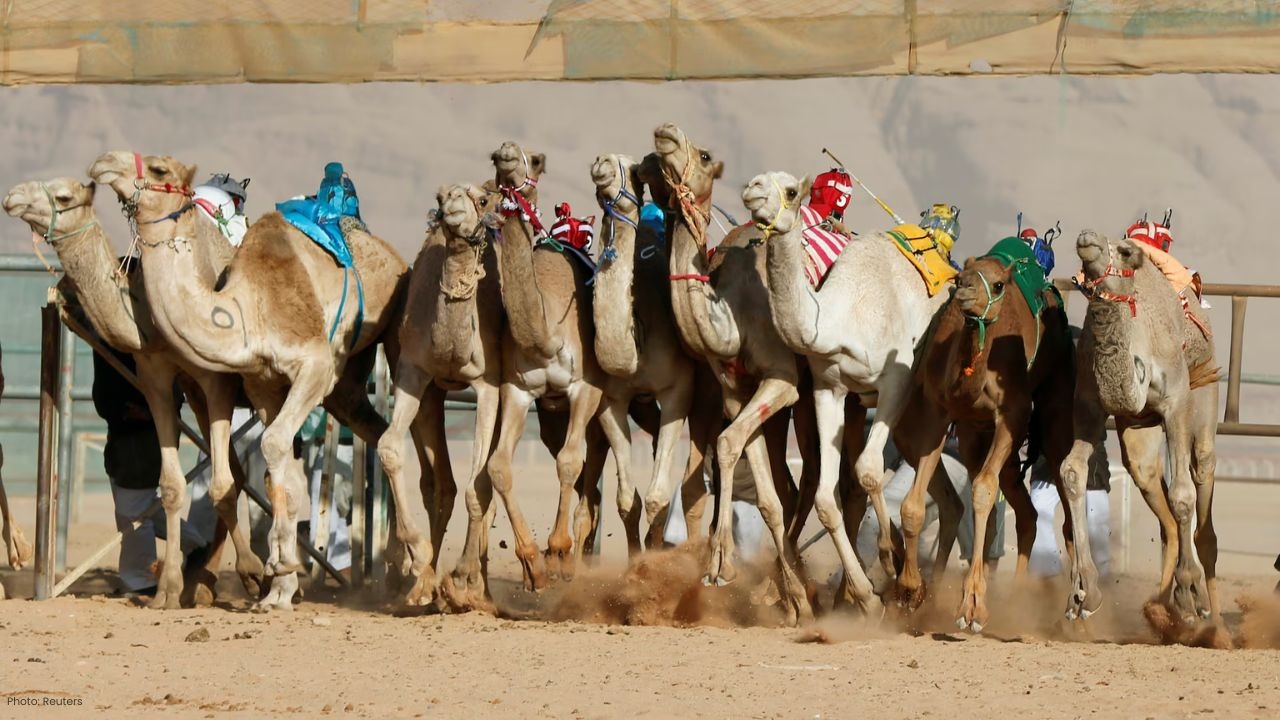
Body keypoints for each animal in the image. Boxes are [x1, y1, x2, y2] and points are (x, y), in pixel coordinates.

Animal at [3, 176, 268, 606]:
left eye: (64, 195)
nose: (12, 196)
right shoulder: (160, 377)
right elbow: (177, 486)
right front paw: (168, 590)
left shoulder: (215, 381)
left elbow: (222, 483)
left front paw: (253, 571)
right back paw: (204, 582)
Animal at [88, 152, 408, 611]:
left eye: (160, 169)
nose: (103, 162)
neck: (247, 310)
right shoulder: (259, 383)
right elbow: (273, 475)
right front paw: (278, 586)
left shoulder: (311, 366)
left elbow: (268, 452)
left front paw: (275, 570)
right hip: (348, 385)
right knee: (379, 434)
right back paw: (402, 563)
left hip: (390, 336)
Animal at [589, 153, 722, 552]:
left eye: (631, 169)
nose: (600, 161)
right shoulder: (611, 400)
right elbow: (627, 501)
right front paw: (636, 559)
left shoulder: (678, 391)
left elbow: (657, 497)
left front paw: (654, 556)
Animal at [653, 124, 817, 625]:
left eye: (705, 155)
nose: (666, 133)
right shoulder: (735, 391)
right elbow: (763, 496)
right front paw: (793, 600)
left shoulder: (782, 380)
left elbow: (727, 445)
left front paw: (720, 564)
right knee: (787, 488)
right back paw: (783, 589)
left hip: (809, 401)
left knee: (813, 479)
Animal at [1060, 230, 1220, 626]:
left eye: (1124, 251)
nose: (1087, 238)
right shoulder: (1088, 403)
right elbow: (1071, 472)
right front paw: (1082, 593)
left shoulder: (1177, 399)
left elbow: (1182, 496)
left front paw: (1190, 595)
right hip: (1138, 428)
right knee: (1148, 480)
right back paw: (1161, 606)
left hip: (1205, 383)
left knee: (1202, 466)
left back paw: (1209, 613)